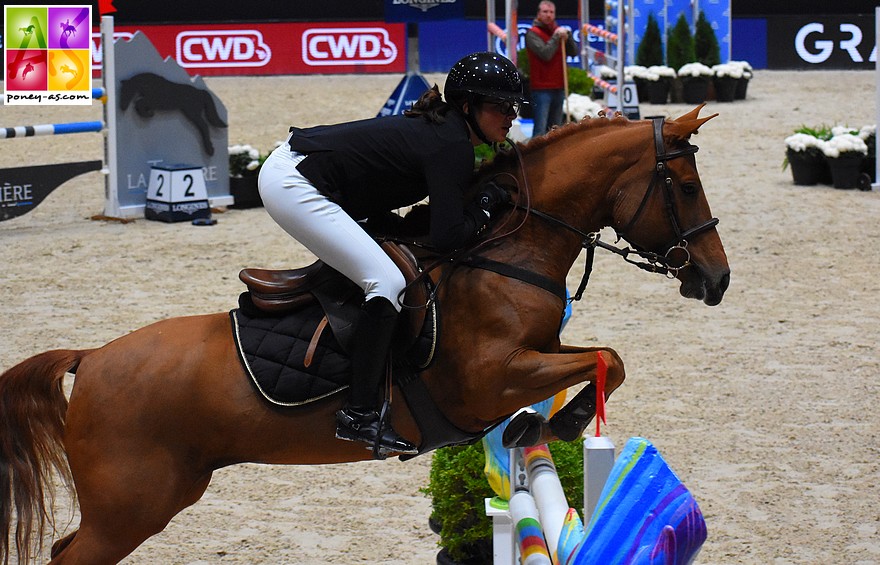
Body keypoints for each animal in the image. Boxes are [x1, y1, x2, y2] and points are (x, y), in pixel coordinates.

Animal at [0, 104, 728, 560]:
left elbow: (604, 358)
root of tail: (91, 358)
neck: (504, 251)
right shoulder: (490, 379)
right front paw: (566, 421)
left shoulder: (539, 352)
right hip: (133, 506)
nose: (716, 279)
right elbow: (606, 357)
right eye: (686, 185)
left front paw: (540, 425)